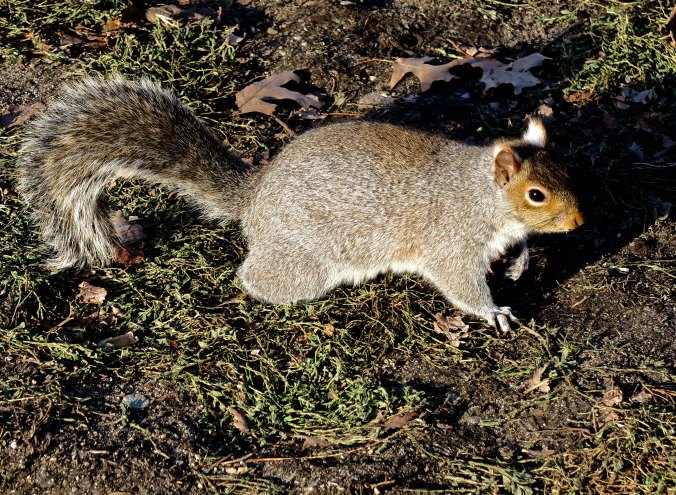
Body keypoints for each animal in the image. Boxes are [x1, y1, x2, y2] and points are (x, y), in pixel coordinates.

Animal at [18, 77, 584, 332]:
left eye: (567, 172)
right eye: (535, 194)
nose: (580, 221)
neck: (483, 196)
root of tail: (255, 198)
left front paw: (520, 262)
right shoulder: (452, 239)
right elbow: (460, 281)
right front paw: (495, 311)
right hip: (309, 260)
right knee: (258, 277)